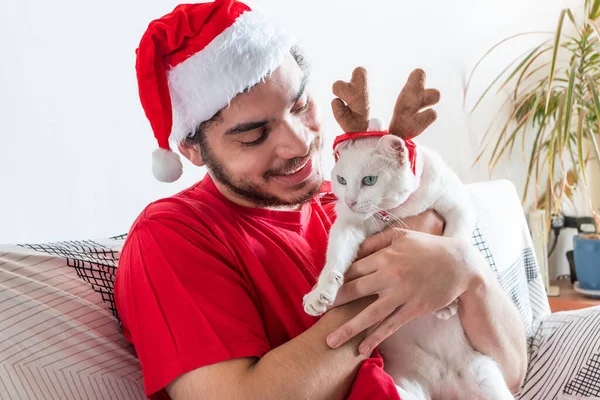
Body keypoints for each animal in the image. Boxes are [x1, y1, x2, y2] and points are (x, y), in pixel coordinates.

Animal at [302, 126, 512, 400]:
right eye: (342, 180)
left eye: (370, 180)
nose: (349, 201)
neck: (398, 211)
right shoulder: (349, 223)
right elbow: (336, 253)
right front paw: (320, 292)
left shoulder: (459, 207)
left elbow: (453, 243)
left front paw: (448, 302)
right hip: (402, 386)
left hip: (486, 377)